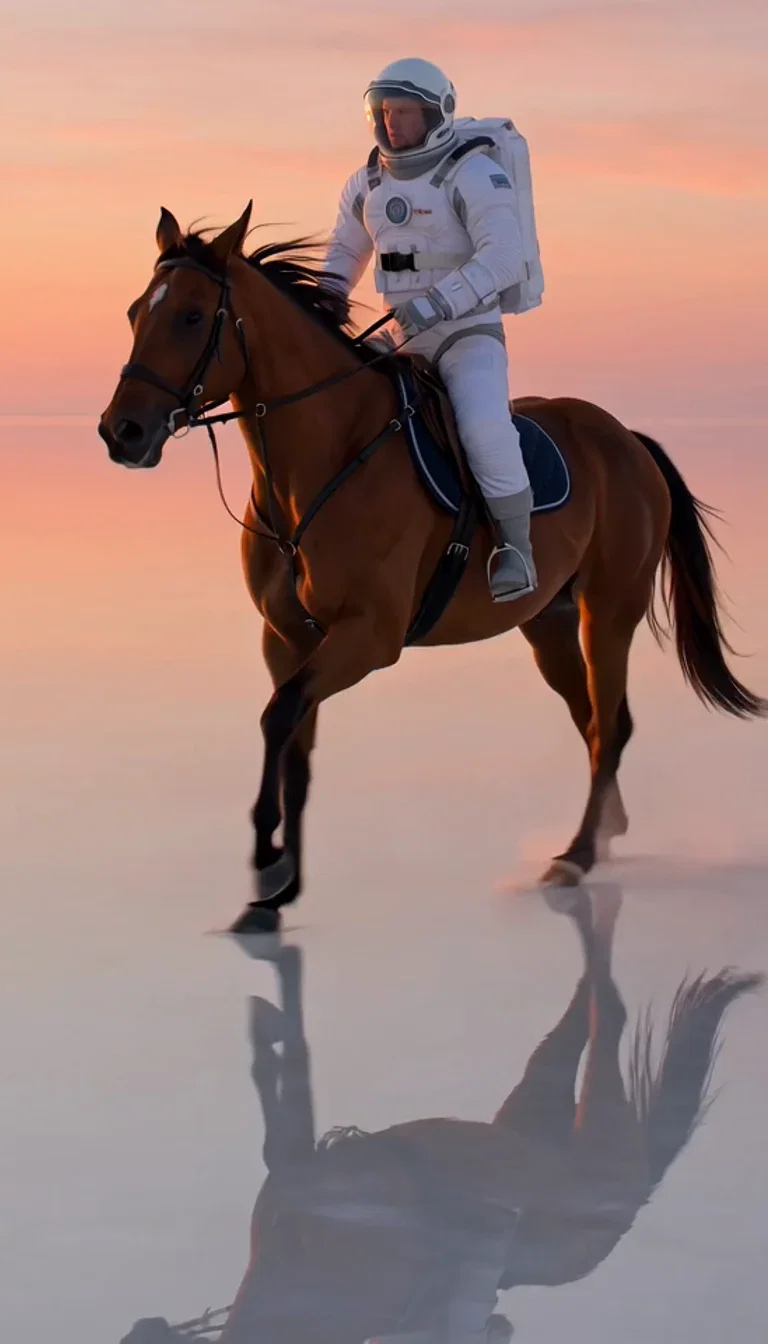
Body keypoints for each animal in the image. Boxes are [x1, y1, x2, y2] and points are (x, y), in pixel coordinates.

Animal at [99, 203, 767, 932]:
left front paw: (268, 860)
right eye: (135, 313)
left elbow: (279, 717)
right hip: (549, 624)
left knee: (611, 724)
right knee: (593, 723)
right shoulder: (287, 637)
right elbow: (296, 747)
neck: (324, 462)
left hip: (608, 613)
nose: (121, 432)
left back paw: (578, 856)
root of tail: (628, 439)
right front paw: (278, 892)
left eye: (192, 316)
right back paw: (607, 833)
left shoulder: (369, 636)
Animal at [120, 890, 763, 1343]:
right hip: (543, 1118)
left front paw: (268, 1009)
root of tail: (634, 1198)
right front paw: (267, 1017)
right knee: (586, 1025)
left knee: (606, 1013)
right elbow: (284, 1097)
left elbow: (289, 1082)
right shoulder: (302, 1180)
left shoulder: (305, 1187)